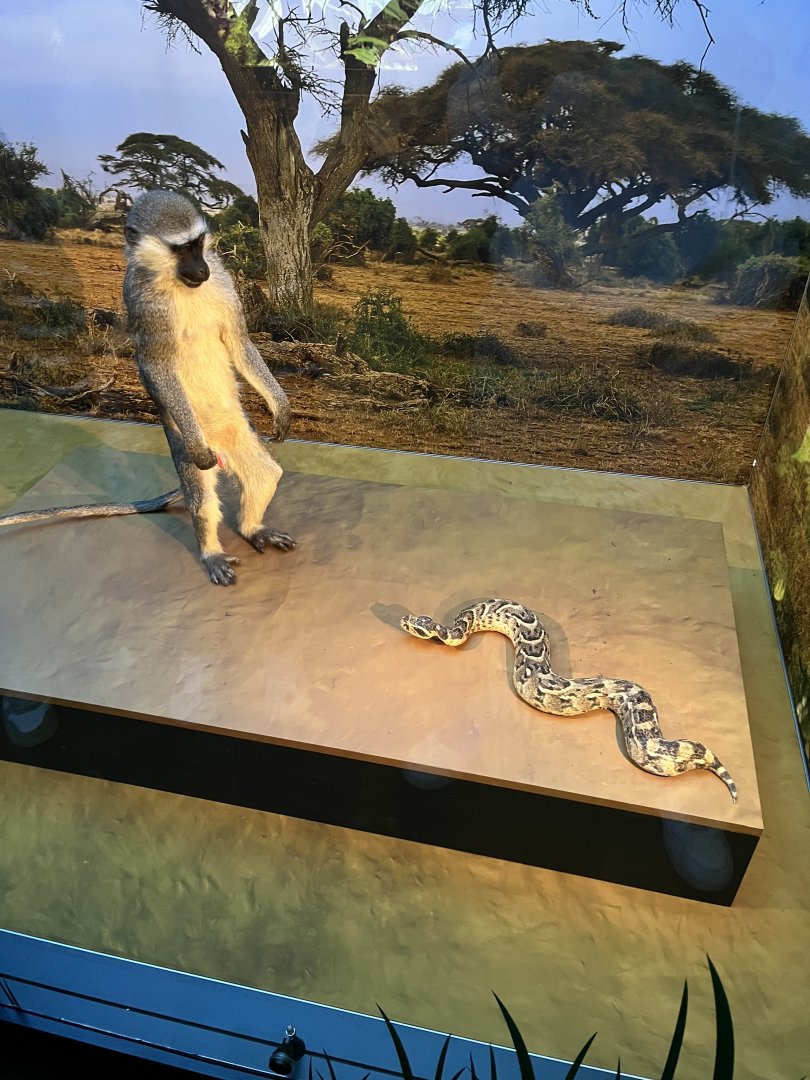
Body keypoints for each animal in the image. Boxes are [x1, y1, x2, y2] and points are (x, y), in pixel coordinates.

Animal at [0, 189, 295, 586]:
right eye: (180, 249)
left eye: (198, 244)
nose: (201, 270)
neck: (176, 282)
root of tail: (218, 441)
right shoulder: (143, 299)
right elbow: (155, 364)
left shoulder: (223, 278)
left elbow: (239, 341)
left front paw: (281, 409)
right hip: (182, 437)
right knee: (202, 497)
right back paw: (211, 551)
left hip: (239, 431)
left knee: (264, 474)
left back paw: (253, 529)